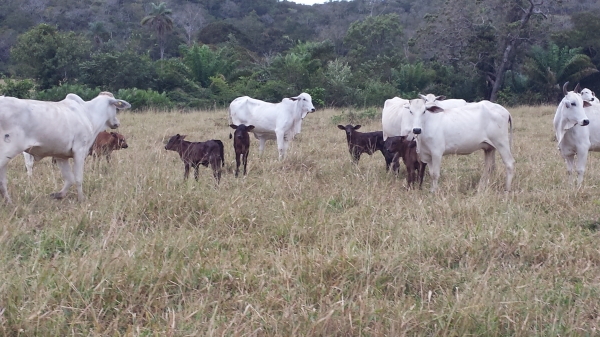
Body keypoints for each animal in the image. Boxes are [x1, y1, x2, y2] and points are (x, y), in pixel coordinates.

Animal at [0, 92, 131, 202]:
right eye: (115, 107)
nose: (117, 123)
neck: (88, 114)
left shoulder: (61, 156)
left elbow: (69, 179)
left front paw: (58, 194)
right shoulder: (80, 151)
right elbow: (78, 178)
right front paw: (81, 199)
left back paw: (8, 201)